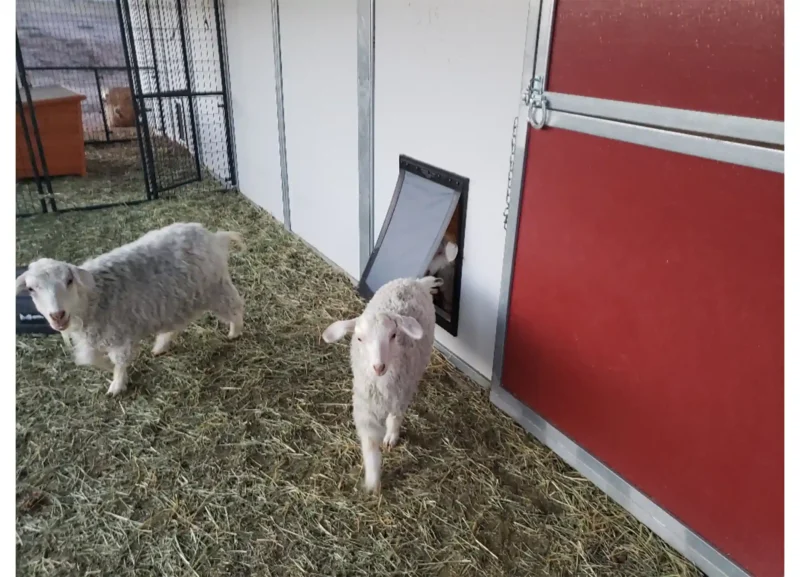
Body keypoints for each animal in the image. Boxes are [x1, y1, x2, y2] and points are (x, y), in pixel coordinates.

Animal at [15, 222, 245, 397]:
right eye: (31, 289)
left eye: (69, 281)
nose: (57, 315)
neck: (94, 296)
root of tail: (213, 236)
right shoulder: (94, 337)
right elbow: (90, 359)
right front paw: (110, 369)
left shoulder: (119, 334)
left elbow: (119, 360)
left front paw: (117, 384)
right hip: (176, 300)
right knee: (175, 324)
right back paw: (161, 345)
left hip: (215, 288)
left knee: (235, 306)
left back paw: (235, 331)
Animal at [322, 276, 443, 493]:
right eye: (359, 338)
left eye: (393, 335)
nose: (379, 367)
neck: (381, 386)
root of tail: (414, 280)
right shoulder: (365, 409)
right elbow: (370, 445)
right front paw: (372, 482)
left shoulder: (400, 397)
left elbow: (395, 419)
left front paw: (390, 438)